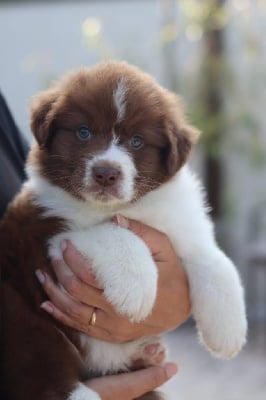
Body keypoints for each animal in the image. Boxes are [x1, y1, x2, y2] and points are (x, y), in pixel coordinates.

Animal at [0, 60, 247, 400]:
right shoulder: (43, 231)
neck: (128, 207)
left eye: (137, 141)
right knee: (40, 365)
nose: (106, 173)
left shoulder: (181, 222)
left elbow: (215, 262)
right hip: (15, 308)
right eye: (83, 132)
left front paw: (228, 333)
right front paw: (135, 290)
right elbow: (117, 234)